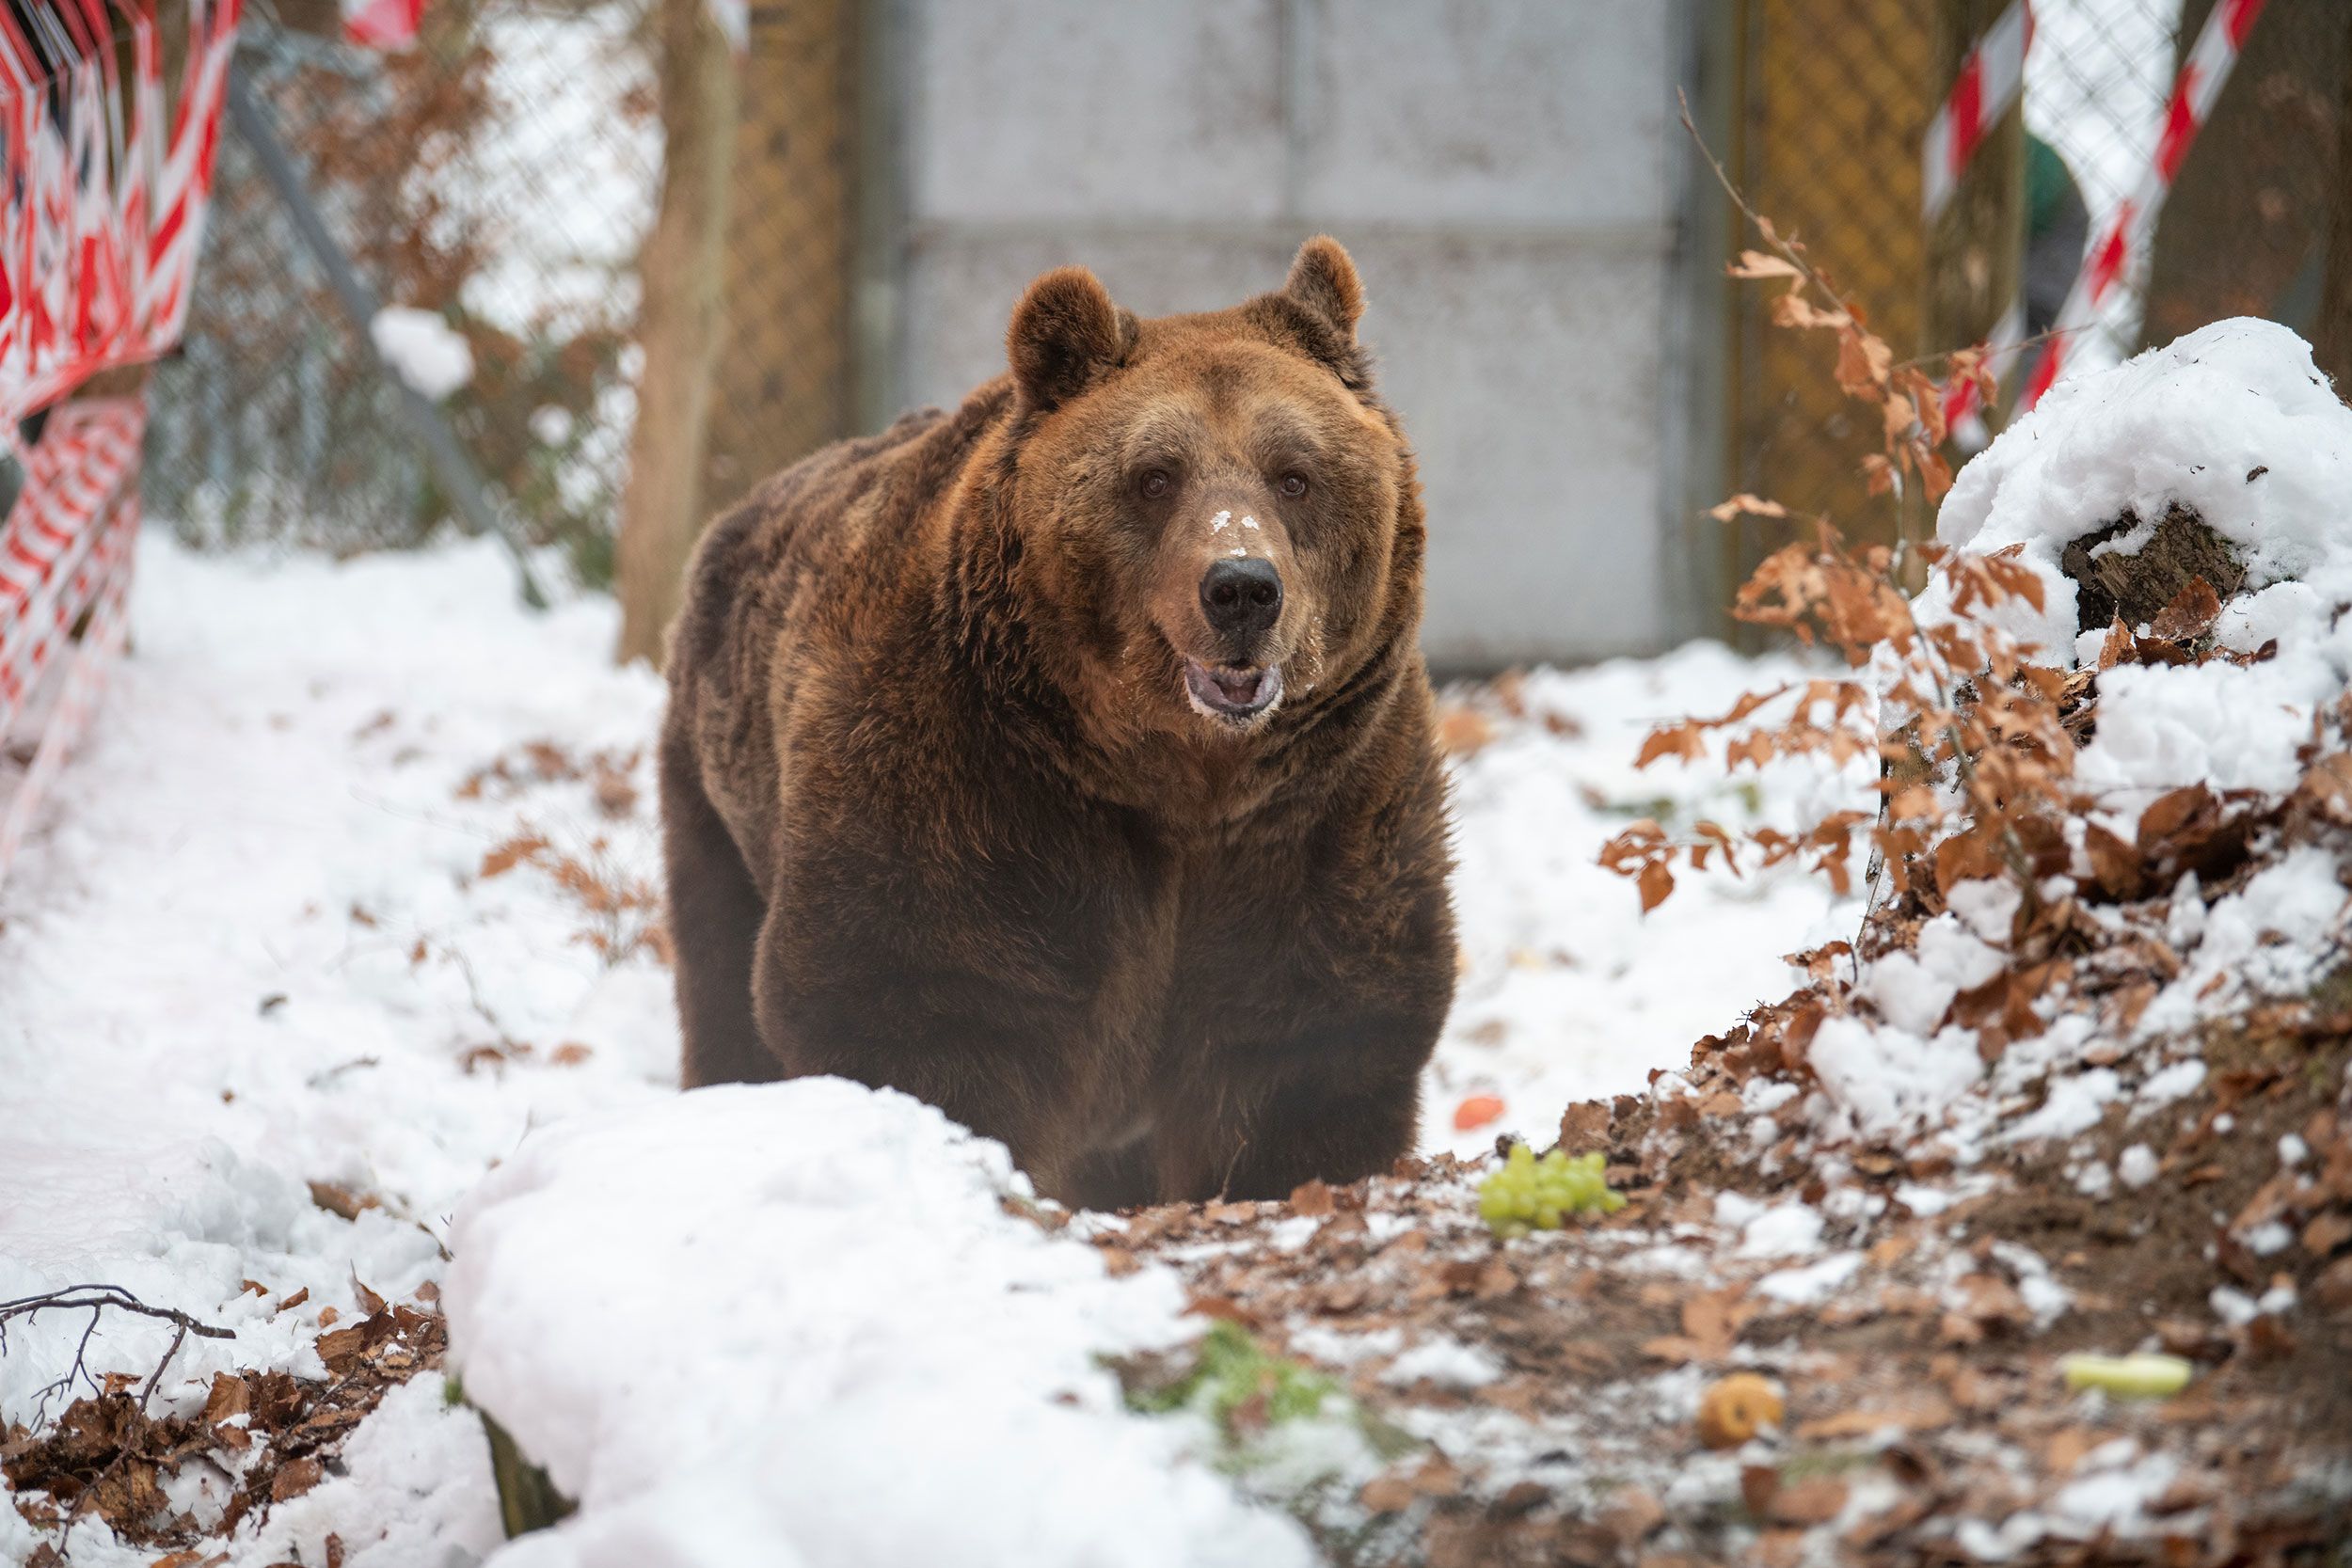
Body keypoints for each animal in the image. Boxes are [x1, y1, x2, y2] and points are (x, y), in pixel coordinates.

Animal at [663, 239, 1458, 1212]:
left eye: (1295, 474)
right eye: (1154, 476)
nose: (1241, 587)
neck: (1179, 780)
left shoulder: (1324, 800)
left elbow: (1309, 1030)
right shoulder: (968, 782)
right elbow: (919, 994)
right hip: (716, 800)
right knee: (720, 982)